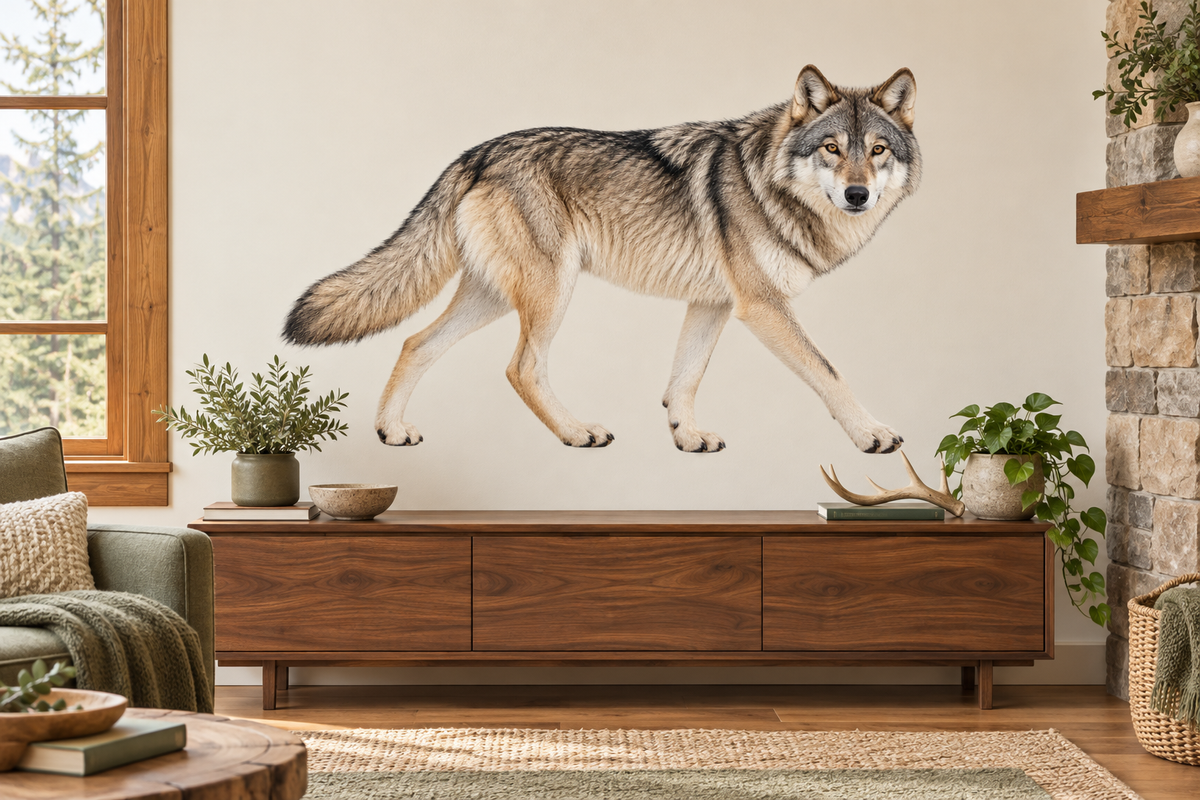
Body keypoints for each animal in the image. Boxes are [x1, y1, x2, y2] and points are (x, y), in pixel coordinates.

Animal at [284, 65, 921, 454]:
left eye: (877, 151)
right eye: (832, 149)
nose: (857, 195)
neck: (773, 183)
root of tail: (478, 151)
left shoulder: (713, 305)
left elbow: (684, 380)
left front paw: (686, 438)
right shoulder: (762, 307)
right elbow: (829, 372)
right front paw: (872, 435)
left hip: (491, 298)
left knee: (415, 343)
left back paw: (390, 430)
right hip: (552, 291)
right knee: (521, 368)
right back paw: (576, 433)